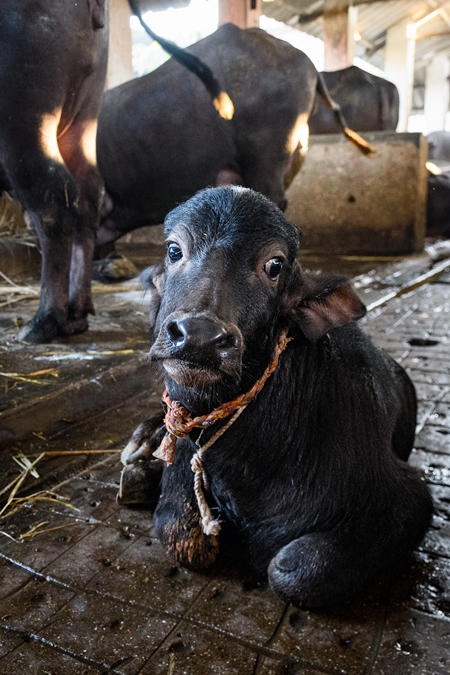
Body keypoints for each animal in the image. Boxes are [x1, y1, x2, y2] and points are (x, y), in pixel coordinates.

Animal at [118, 186, 432, 612]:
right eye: (173, 249)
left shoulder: (408, 500)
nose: (199, 335)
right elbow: (183, 538)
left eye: (274, 265)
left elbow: (290, 570)